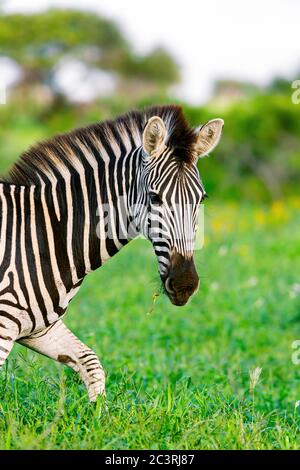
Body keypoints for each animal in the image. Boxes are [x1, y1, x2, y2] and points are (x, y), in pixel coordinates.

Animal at [0, 105, 224, 400]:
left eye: (201, 199)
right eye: (155, 198)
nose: (185, 284)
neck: (43, 234)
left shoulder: (37, 326)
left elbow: (91, 363)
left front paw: (96, 411)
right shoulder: (4, 326)